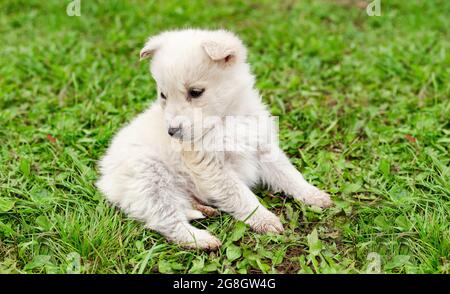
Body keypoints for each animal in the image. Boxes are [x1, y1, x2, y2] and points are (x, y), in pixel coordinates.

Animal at [96, 28, 332, 249]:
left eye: (195, 92)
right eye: (163, 95)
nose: (171, 132)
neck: (225, 120)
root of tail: (105, 179)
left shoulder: (262, 147)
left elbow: (289, 175)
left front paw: (313, 195)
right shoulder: (212, 167)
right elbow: (242, 196)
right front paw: (264, 219)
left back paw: (205, 209)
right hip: (151, 180)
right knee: (166, 221)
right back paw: (202, 239)